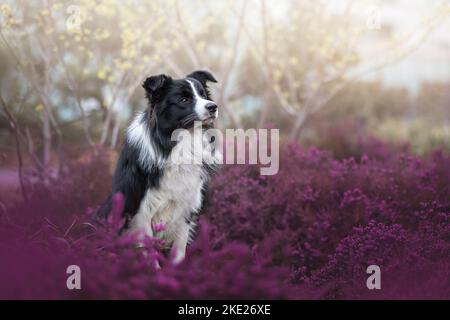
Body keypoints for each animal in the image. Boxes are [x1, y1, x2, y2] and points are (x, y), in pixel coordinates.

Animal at [100, 71, 223, 264]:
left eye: (203, 95)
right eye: (184, 99)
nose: (213, 107)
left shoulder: (186, 207)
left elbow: (179, 249)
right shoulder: (141, 209)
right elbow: (148, 249)